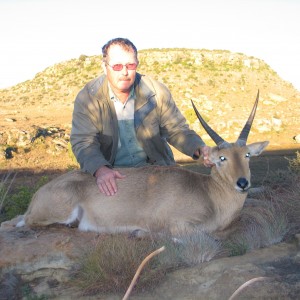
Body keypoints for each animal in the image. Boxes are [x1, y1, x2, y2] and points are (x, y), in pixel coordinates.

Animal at [17, 91, 270, 237]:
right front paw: (140, 232)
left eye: (247, 155)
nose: (243, 183)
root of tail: (38, 195)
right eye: (222, 158)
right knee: (28, 222)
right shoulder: (179, 225)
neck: (209, 193)